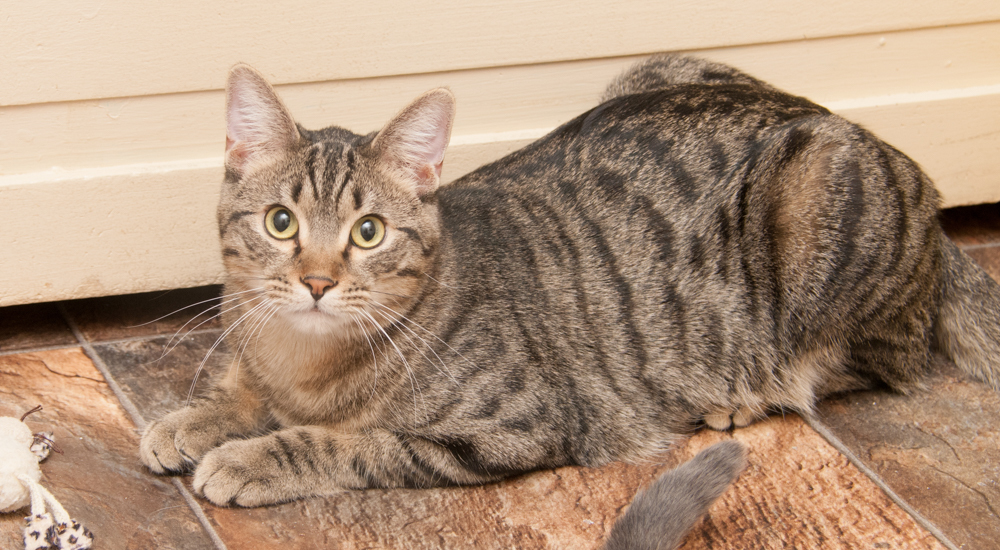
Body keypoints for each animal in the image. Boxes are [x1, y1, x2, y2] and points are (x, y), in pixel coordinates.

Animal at [139, 54, 1000, 544]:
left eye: (369, 232)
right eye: (281, 222)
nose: (317, 281)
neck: (303, 362)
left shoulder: (510, 427)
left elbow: (345, 443)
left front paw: (250, 456)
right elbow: (236, 389)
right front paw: (193, 418)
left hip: (820, 211)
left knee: (881, 361)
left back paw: (741, 398)